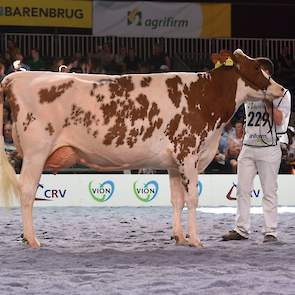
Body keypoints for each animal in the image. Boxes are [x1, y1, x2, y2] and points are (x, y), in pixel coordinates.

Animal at [0, 49, 286, 249]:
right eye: (257, 68)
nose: (282, 88)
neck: (206, 97)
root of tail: (16, 76)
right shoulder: (189, 154)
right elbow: (192, 199)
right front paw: (195, 240)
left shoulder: (174, 162)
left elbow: (176, 200)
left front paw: (180, 237)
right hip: (36, 152)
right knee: (27, 192)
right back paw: (32, 240)